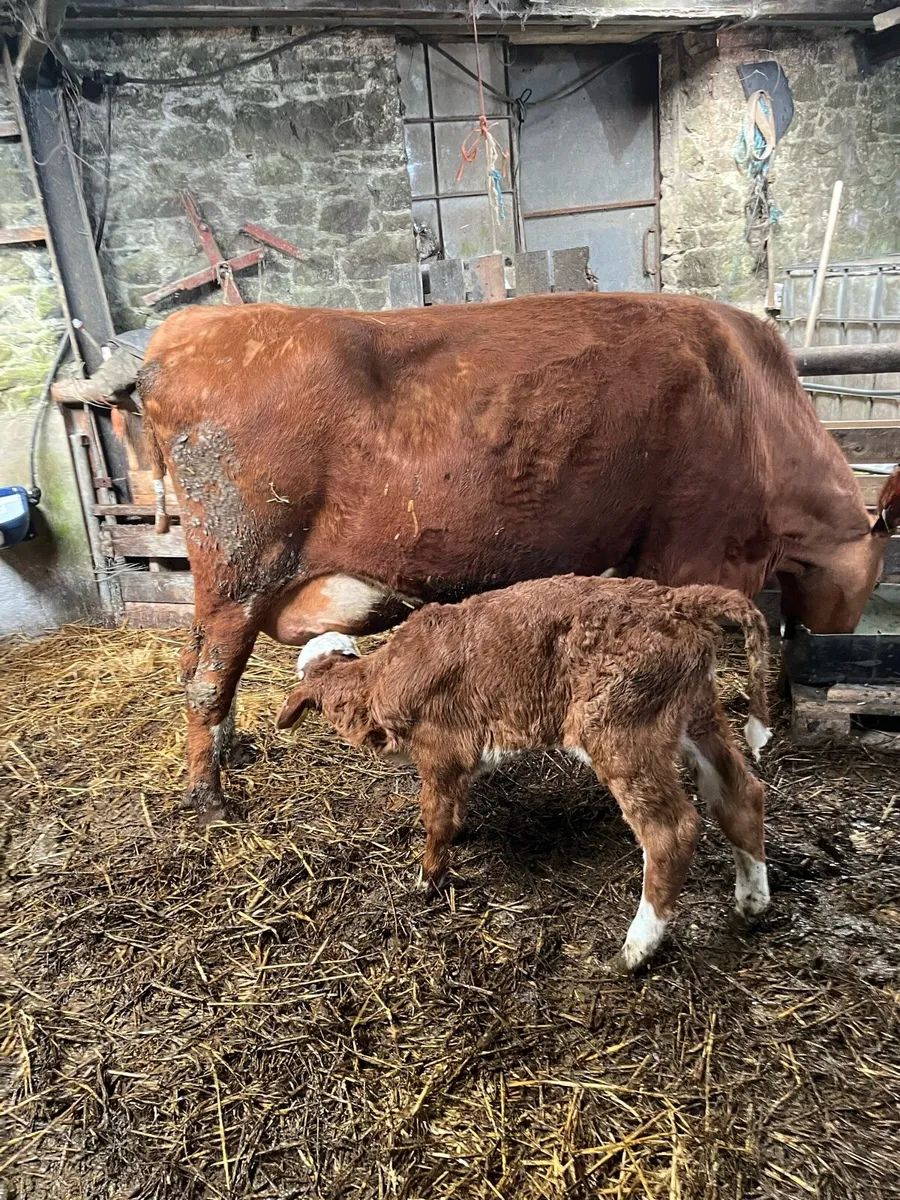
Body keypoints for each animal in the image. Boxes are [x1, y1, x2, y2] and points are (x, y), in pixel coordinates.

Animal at [136, 292, 900, 823]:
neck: (757, 407)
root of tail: (186, 329)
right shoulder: (700, 555)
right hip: (241, 566)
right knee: (205, 682)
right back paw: (210, 800)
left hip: (224, 584)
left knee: (194, 665)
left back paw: (228, 752)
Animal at [276, 575, 772, 972]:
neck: (382, 681)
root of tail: (680, 599)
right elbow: (454, 809)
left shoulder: (441, 749)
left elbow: (436, 816)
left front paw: (427, 881)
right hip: (696, 714)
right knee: (742, 795)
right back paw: (751, 904)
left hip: (623, 729)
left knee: (673, 831)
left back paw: (635, 951)